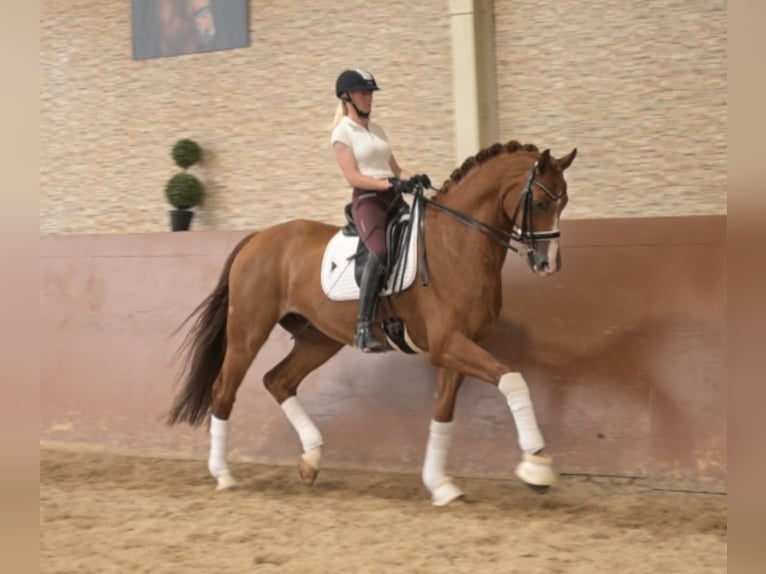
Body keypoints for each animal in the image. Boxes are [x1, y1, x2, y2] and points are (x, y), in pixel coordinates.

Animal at [167, 140, 577, 506]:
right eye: (540, 202)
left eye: (565, 201)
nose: (548, 264)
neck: (457, 244)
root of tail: (256, 238)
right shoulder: (448, 345)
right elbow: (514, 381)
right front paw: (536, 467)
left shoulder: (454, 348)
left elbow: (443, 415)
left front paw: (441, 486)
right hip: (248, 332)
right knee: (224, 390)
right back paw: (224, 475)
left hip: (319, 339)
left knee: (278, 380)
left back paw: (311, 460)